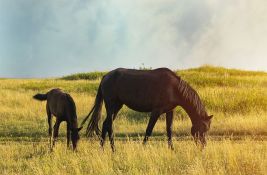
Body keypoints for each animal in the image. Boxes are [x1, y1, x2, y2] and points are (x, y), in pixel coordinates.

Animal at [81, 67, 214, 151]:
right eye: (202, 128)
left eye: (208, 129)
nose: (203, 147)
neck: (174, 88)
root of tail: (105, 76)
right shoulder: (156, 111)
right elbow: (148, 130)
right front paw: (143, 148)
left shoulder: (170, 111)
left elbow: (169, 130)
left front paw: (172, 149)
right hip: (111, 105)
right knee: (109, 125)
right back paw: (114, 149)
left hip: (117, 106)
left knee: (105, 124)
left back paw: (102, 149)